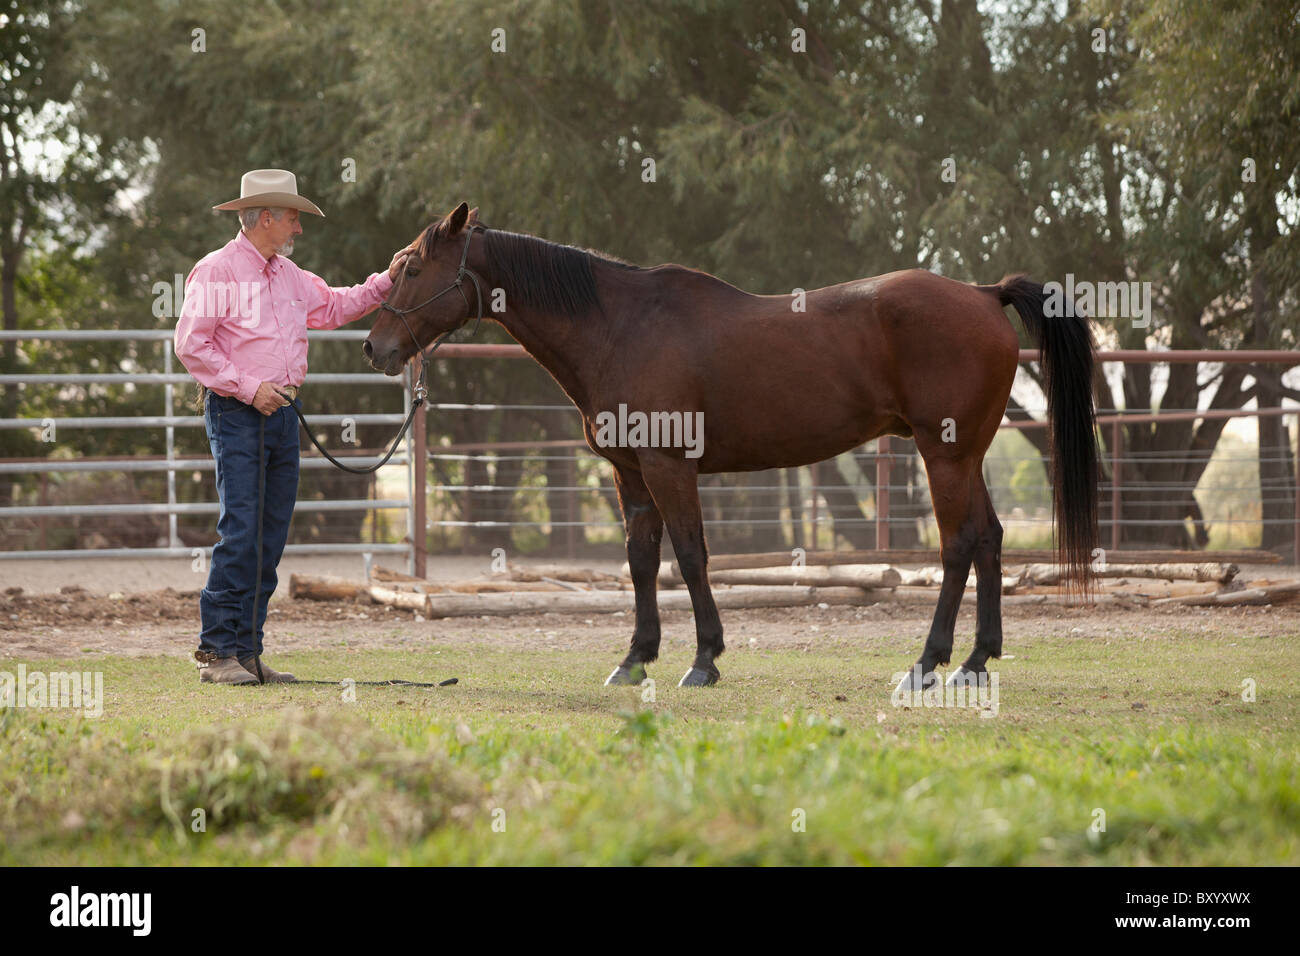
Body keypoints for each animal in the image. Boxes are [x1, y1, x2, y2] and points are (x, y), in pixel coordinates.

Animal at [366, 205, 1097, 691]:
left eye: (411, 267)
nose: (375, 347)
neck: (620, 326)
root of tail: (983, 294)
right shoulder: (631, 475)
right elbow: (641, 561)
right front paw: (635, 659)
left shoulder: (669, 469)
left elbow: (690, 558)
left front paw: (704, 660)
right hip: (966, 455)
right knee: (991, 538)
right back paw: (975, 661)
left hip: (944, 456)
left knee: (958, 545)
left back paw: (927, 663)